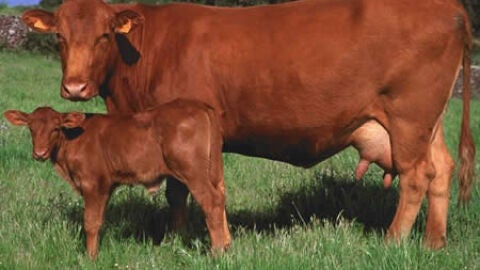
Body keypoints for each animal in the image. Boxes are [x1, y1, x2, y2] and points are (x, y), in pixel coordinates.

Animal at [2, 99, 230, 260]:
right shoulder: (106, 185)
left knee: (211, 202)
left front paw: (90, 257)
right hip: (212, 172)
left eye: (56, 128)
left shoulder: (93, 183)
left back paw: (216, 253)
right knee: (219, 197)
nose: (39, 153)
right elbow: (99, 220)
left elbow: (91, 222)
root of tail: (199, 105)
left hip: (193, 172)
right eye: (31, 128)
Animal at [21, 0, 472, 250]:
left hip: (408, 117)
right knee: (441, 170)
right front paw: (177, 237)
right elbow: (178, 192)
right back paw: (433, 244)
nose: (75, 87)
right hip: (427, 123)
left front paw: (181, 238)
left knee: (416, 176)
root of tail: (449, 7)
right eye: (60, 37)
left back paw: (393, 241)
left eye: (103, 36)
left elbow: (180, 190)